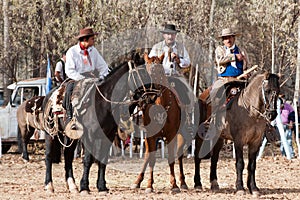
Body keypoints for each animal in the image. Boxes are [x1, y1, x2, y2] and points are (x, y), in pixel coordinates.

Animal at [131, 52, 190, 192]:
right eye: (146, 71)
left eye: (159, 70)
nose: (151, 95)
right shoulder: (150, 136)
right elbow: (151, 159)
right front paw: (149, 185)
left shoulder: (171, 135)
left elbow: (171, 159)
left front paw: (174, 185)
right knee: (147, 155)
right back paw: (137, 181)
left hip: (181, 134)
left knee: (179, 155)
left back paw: (183, 182)